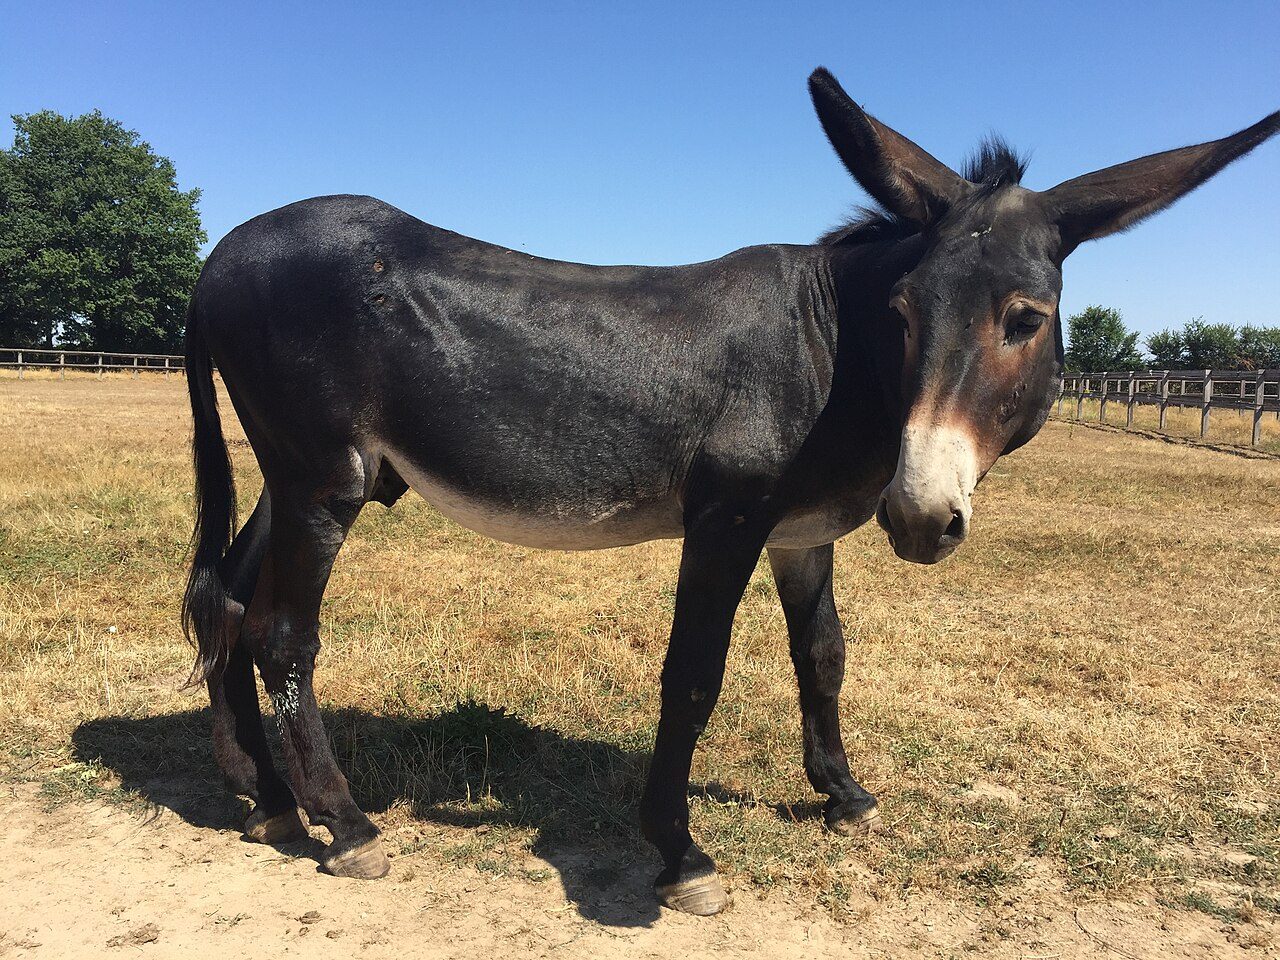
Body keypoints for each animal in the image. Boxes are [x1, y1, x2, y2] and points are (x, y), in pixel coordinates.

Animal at [182, 68, 1278, 915]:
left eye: (1024, 319)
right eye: (902, 311)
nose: (920, 519)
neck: (835, 352)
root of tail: (218, 252)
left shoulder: (803, 532)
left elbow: (823, 658)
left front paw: (845, 795)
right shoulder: (728, 519)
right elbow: (694, 675)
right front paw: (680, 853)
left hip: (302, 474)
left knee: (228, 603)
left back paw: (263, 799)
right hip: (323, 478)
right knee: (283, 632)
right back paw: (345, 822)